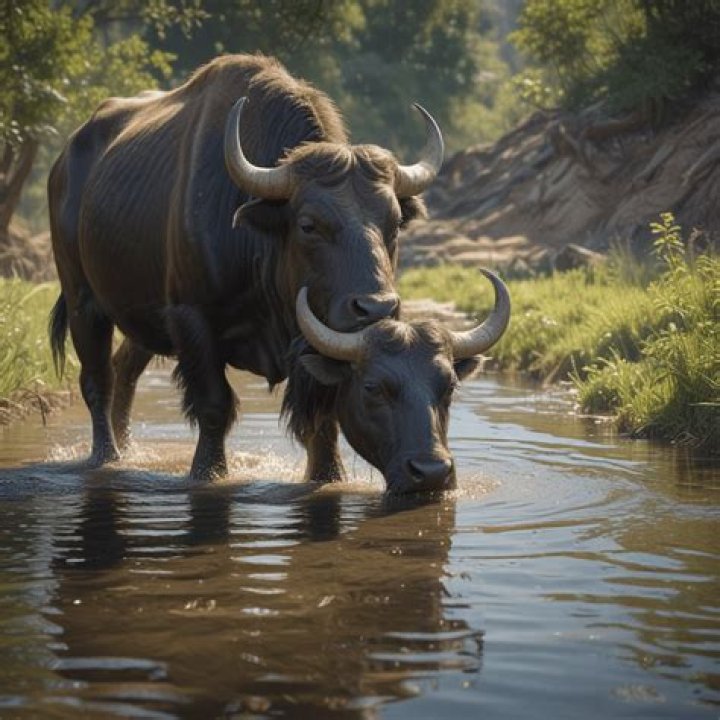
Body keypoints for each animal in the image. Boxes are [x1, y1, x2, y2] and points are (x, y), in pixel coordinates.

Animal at [47, 54, 444, 483]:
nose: (376, 309)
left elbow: (322, 418)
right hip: (83, 301)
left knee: (125, 371)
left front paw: (328, 476)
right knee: (97, 380)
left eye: (394, 223)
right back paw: (107, 456)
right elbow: (214, 404)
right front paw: (208, 471)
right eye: (308, 225)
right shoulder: (190, 318)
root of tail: (63, 164)